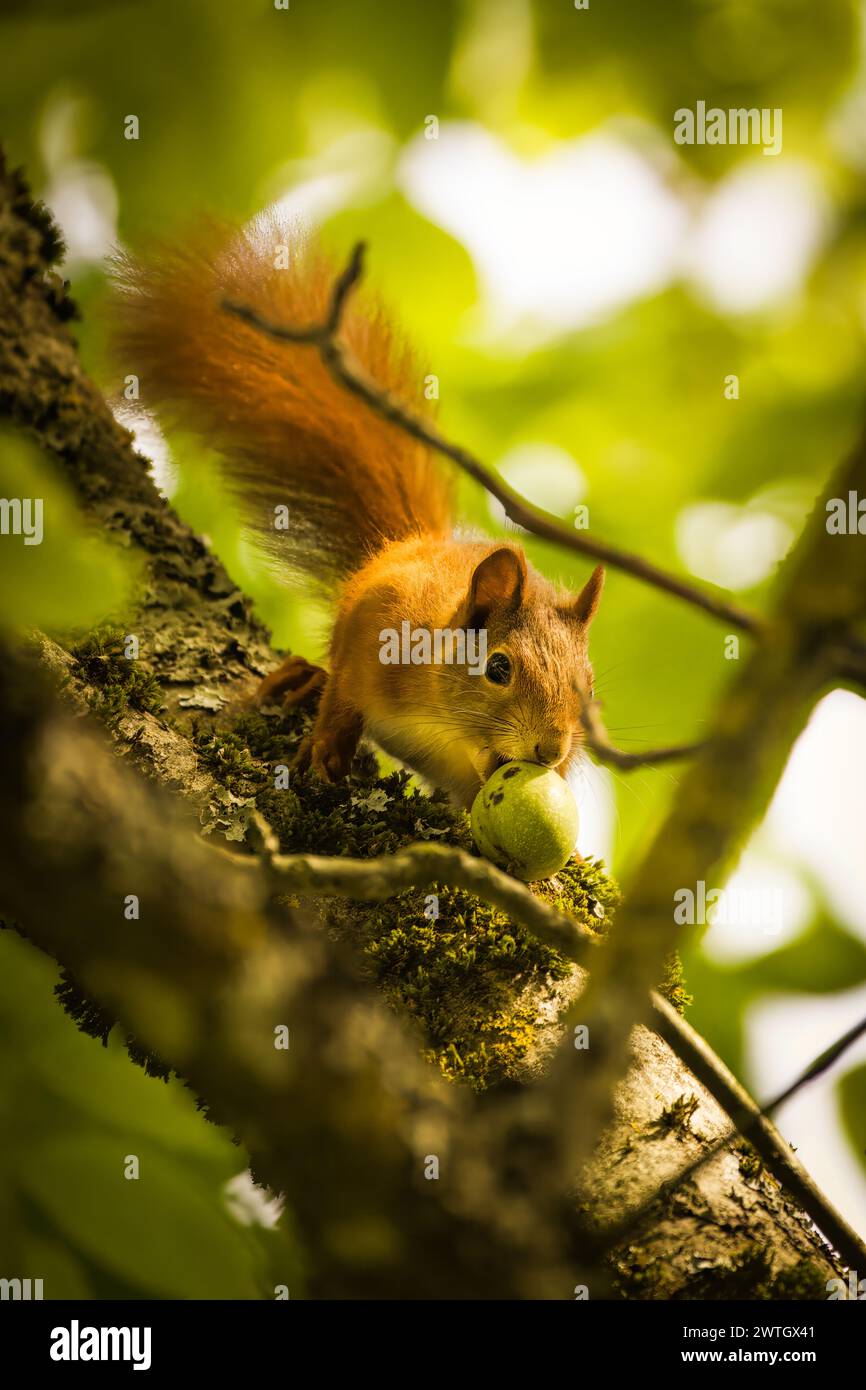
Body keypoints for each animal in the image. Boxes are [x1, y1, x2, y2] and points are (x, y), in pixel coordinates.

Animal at [109, 211, 603, 811]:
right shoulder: (380, 619)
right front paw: (328, 746)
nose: (551, 751)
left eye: (590, 692)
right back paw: (304, 680)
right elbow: (345, 690)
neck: (446, 728)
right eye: (498, 667)